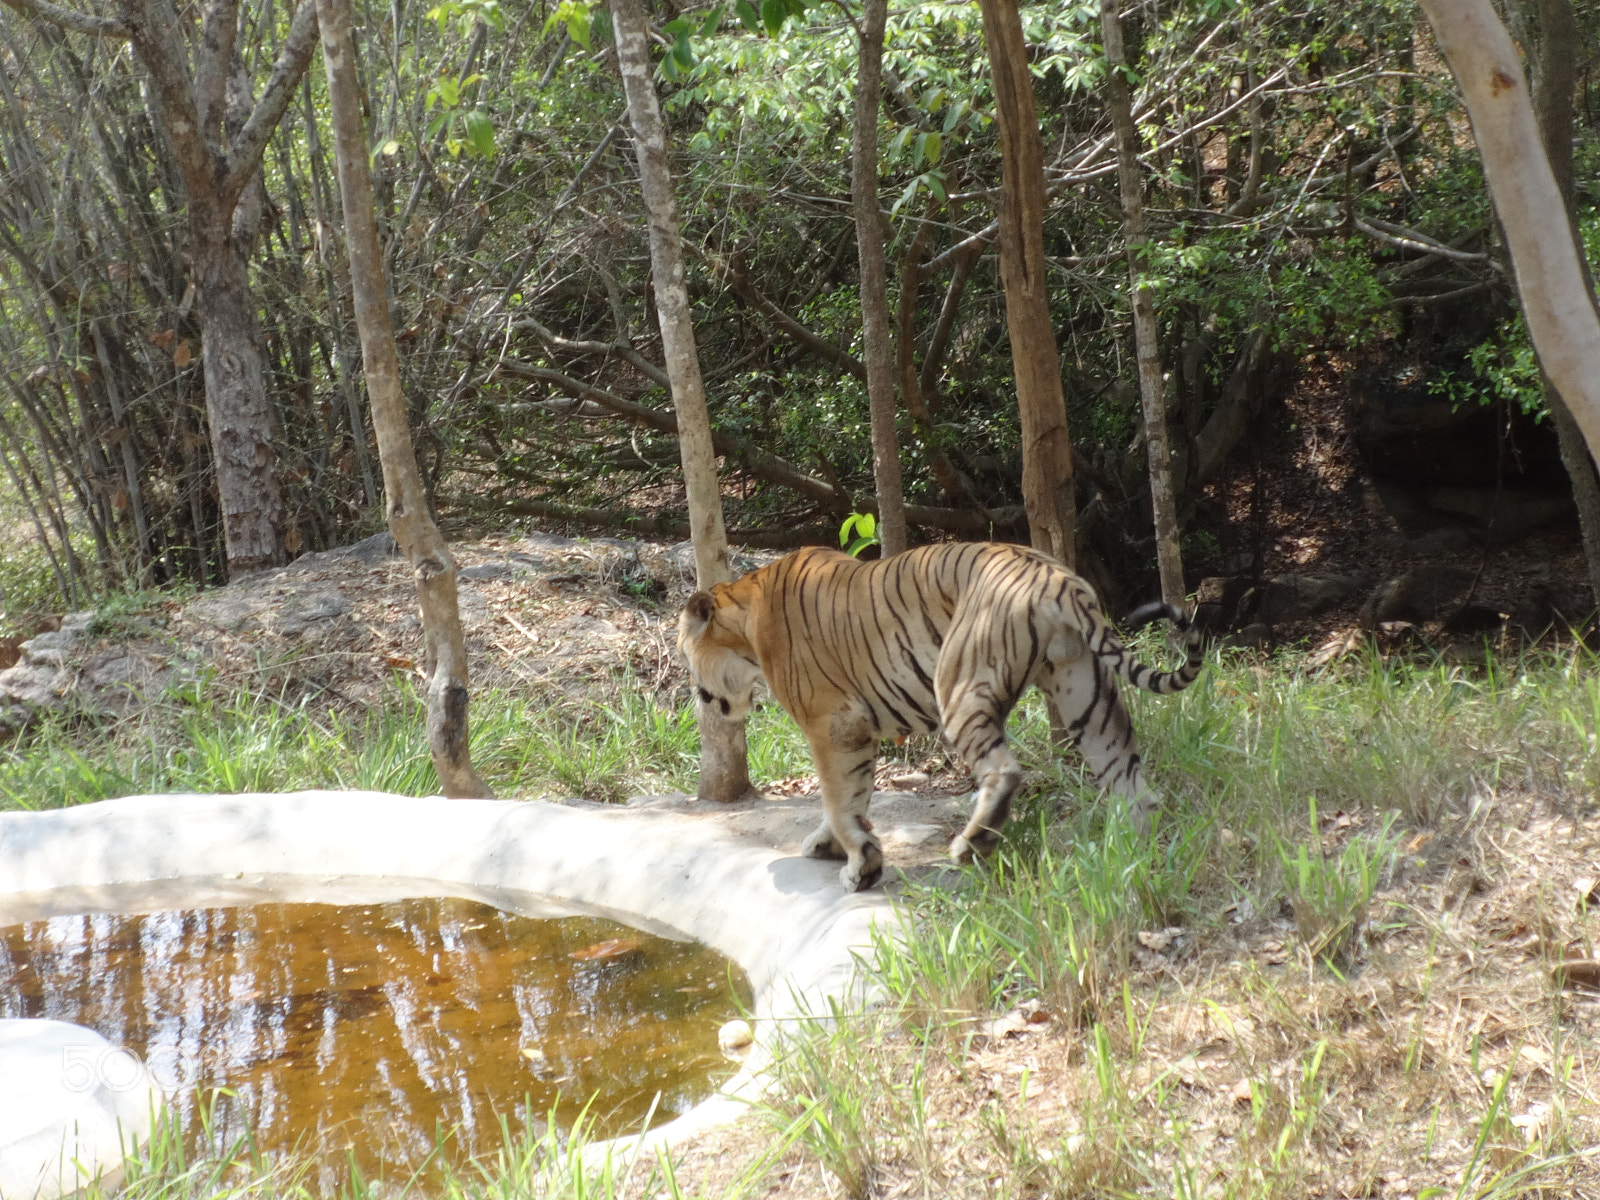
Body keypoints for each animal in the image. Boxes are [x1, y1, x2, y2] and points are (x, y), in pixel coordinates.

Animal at [675, 544, 1203, 896]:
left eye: (685, 651)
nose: (697, 698)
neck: (744, 618)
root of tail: (1057, 577)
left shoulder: (834, 724)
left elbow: (838, 798)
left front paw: (860, 864)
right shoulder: (855, 730)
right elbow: (851, 796)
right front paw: (835, 847)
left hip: (960, 688)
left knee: (1004, 771)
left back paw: (971, 845)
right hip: (1085, 695)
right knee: (1130, 781)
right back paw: (1135, 851)